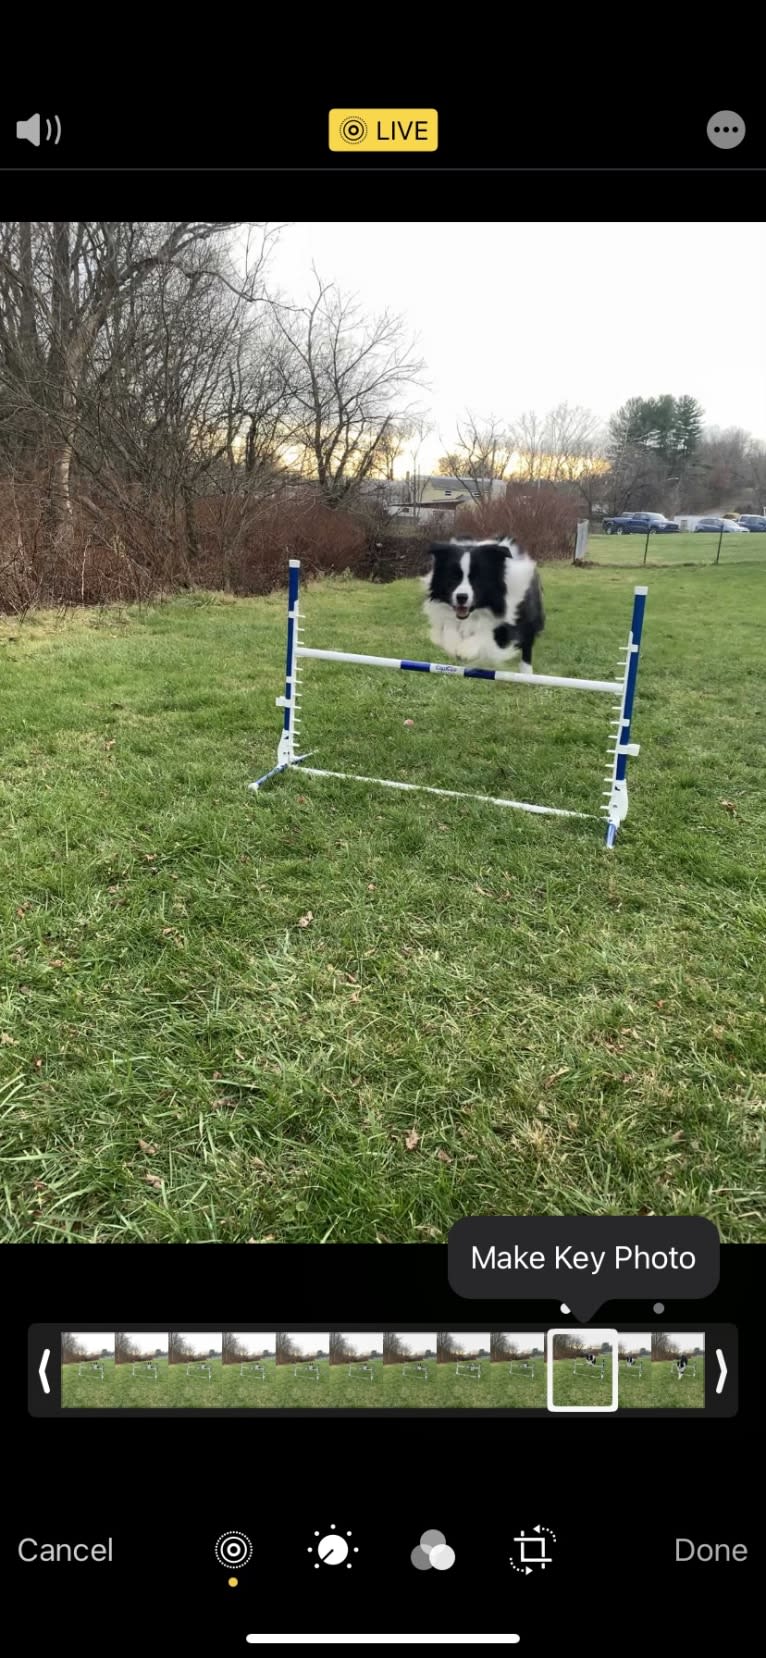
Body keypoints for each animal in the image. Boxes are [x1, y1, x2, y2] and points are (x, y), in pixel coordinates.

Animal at [421, 537, 540, 666]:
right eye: (453, 577)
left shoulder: (510, 627)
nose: (461, 597)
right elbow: (448, 624)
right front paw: (453, 643)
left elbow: (487, 632)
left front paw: (466, 649)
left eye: (477, 578)